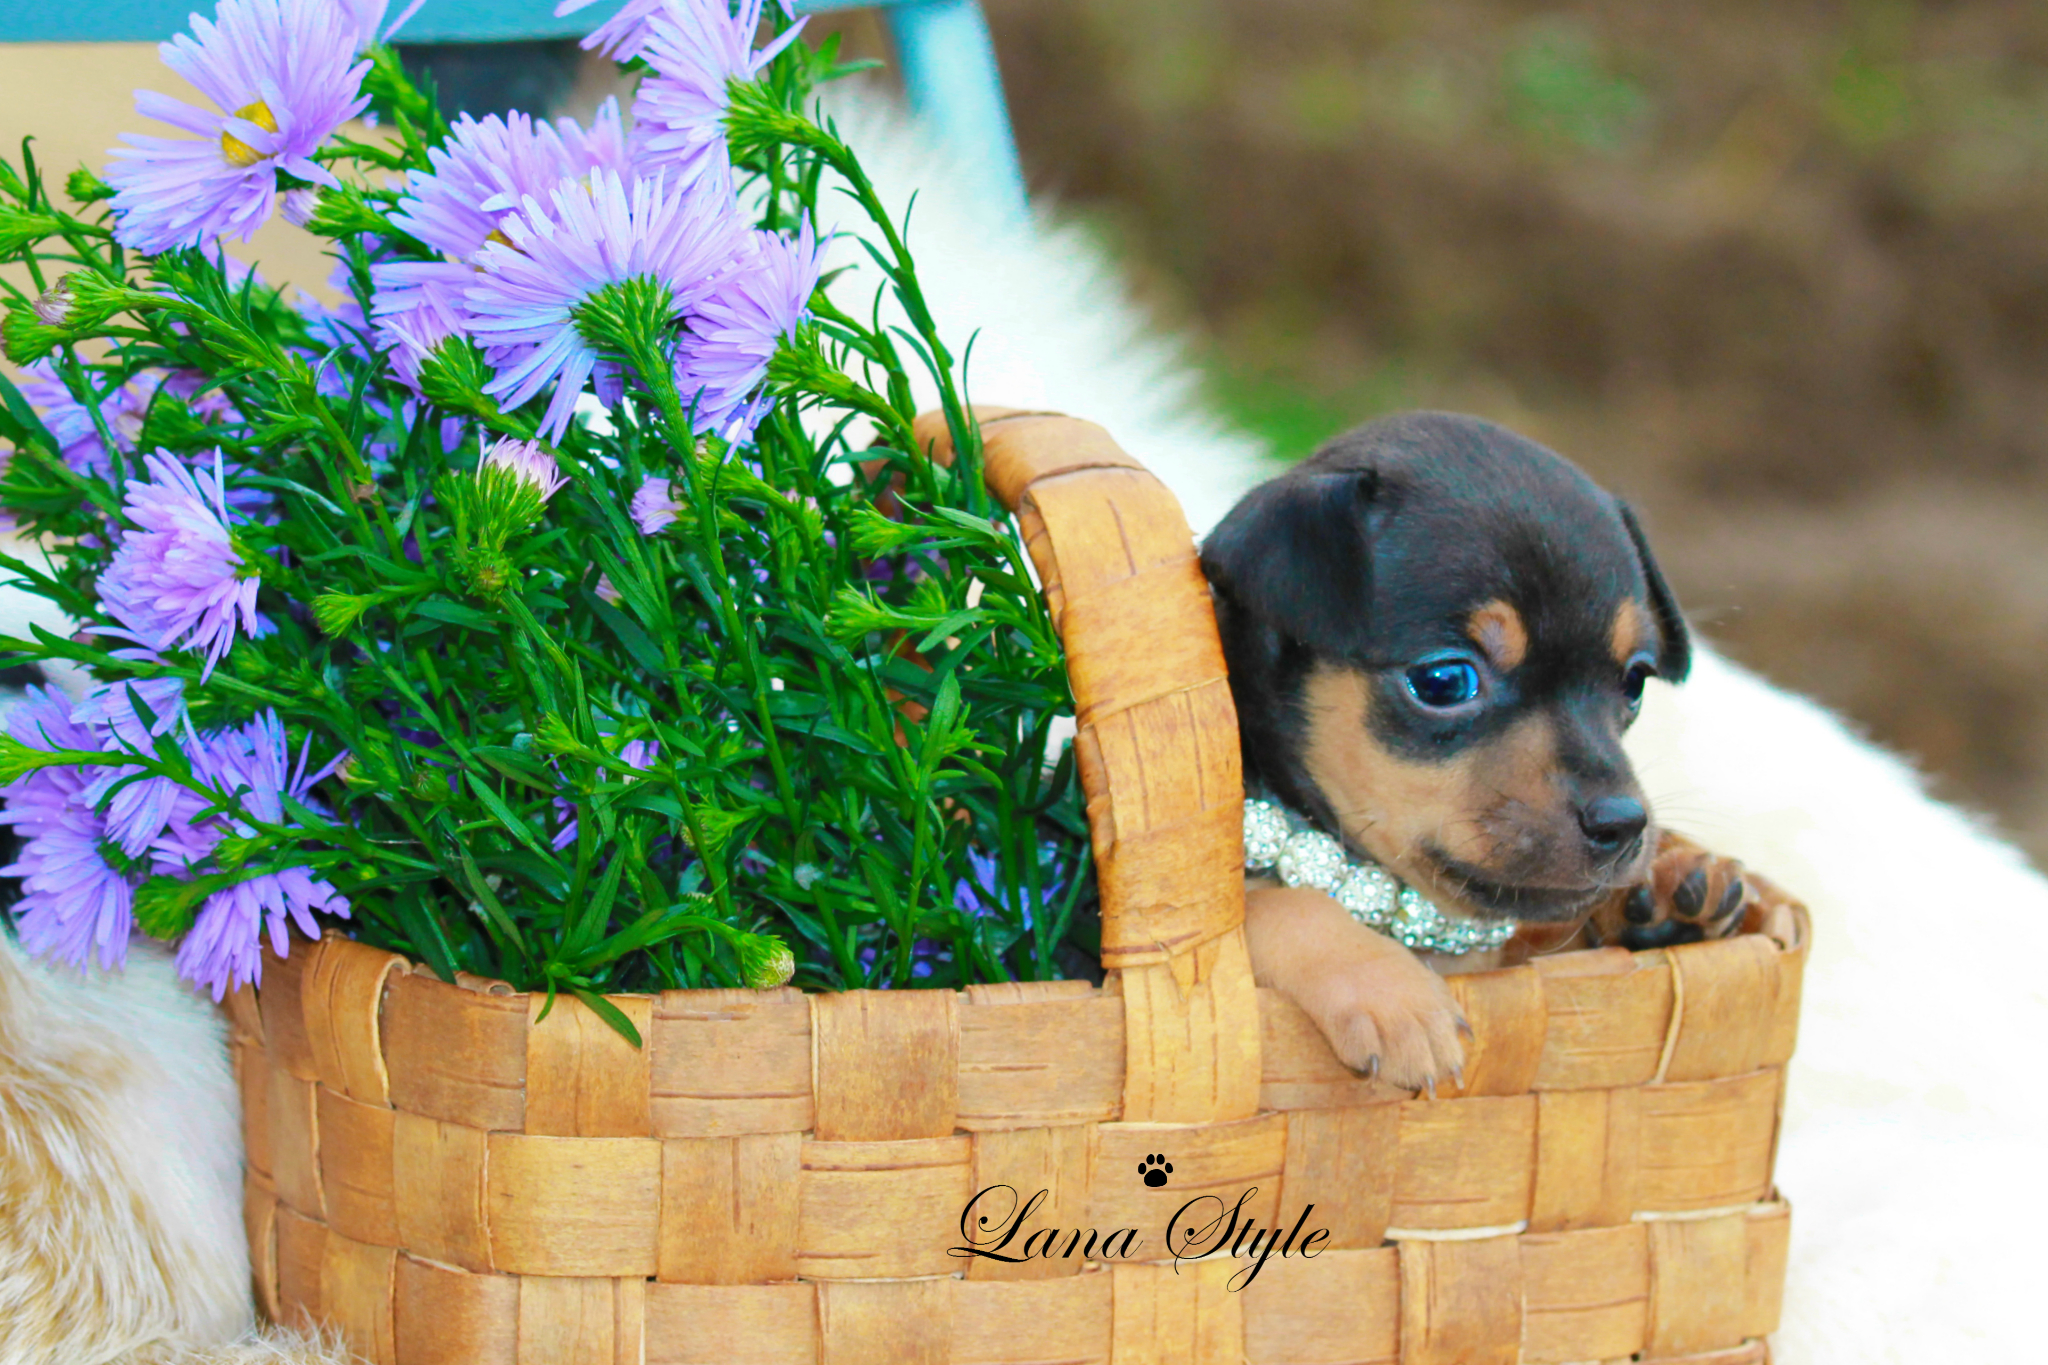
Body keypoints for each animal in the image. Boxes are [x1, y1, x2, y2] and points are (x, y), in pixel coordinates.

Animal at [1201, 411, 1766, 1090]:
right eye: (1445, 681)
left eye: (1634, 682)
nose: (1624, 824)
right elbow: (1279, 904)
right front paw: (1390, 991)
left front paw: (1667, 886)